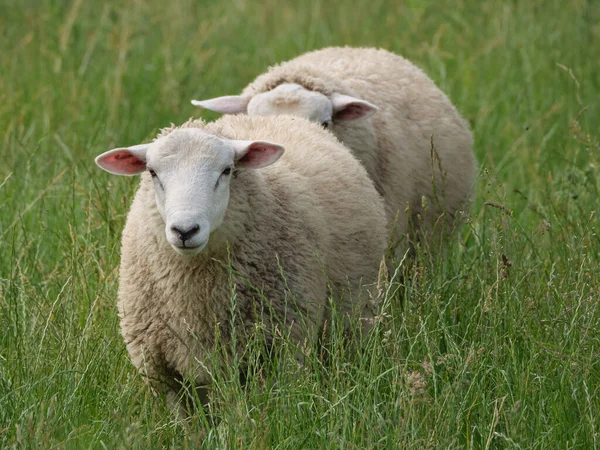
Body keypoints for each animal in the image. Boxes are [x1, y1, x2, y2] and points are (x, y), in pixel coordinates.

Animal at [92, 114, 386, 414]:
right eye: (152, 172)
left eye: (227, 170)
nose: (185, 230)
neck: (194, 298)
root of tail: (271, 116)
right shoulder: (163, 372)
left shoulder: (282, 348)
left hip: (354, 319)